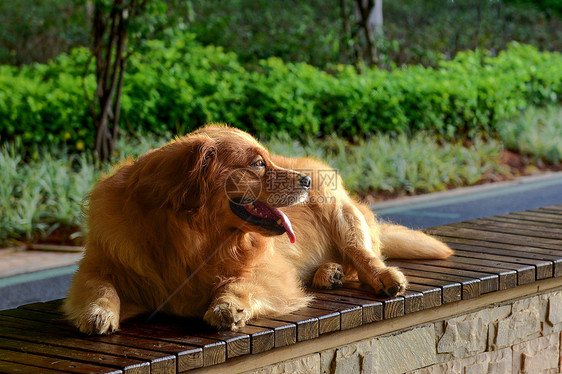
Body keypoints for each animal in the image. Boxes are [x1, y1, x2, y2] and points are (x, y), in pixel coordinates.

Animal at [63, 124, 452, 334]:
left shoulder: (272, 271)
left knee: (365, 256)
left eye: (267, 159)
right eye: (257, 164)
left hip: (341, 213)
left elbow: (238, 282)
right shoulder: (101, 265)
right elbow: (101, 287)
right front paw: (99, 312)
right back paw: (329, 273)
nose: (305, 180)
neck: (189, 238)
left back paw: (380, 277)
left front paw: (227, 305)